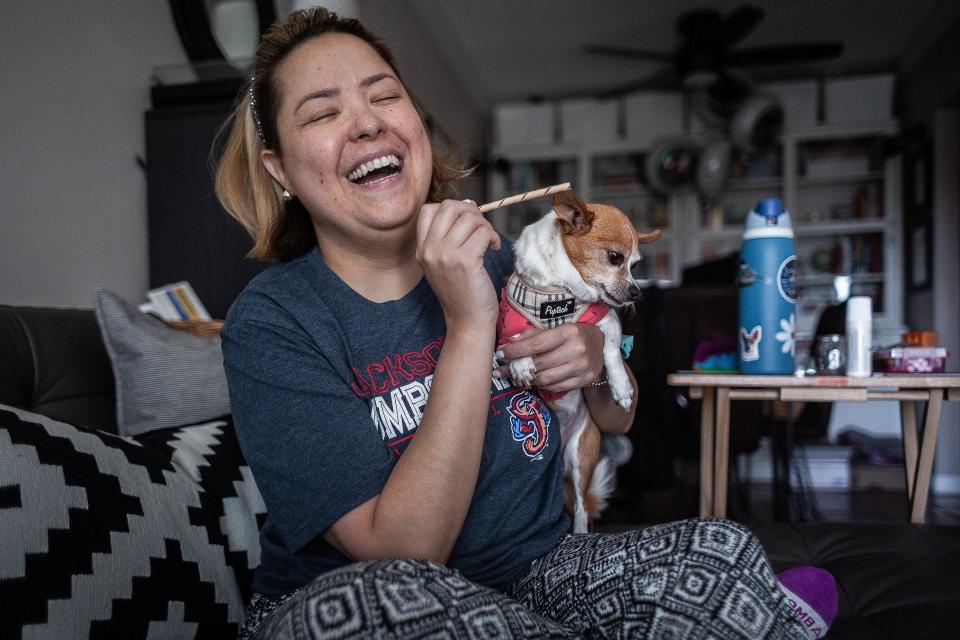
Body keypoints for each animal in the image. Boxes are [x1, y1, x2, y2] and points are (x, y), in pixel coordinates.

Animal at [496, 192, 660, 532]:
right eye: (615, 257)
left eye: (636, 265)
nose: (636, 292)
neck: (561, 289)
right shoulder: (506, 325)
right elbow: (513, 343)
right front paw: (521, 366)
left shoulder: (606, 320)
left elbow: (611, 350)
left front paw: (622, 388)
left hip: (582, 455)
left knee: (582, 507)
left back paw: (581, 532)